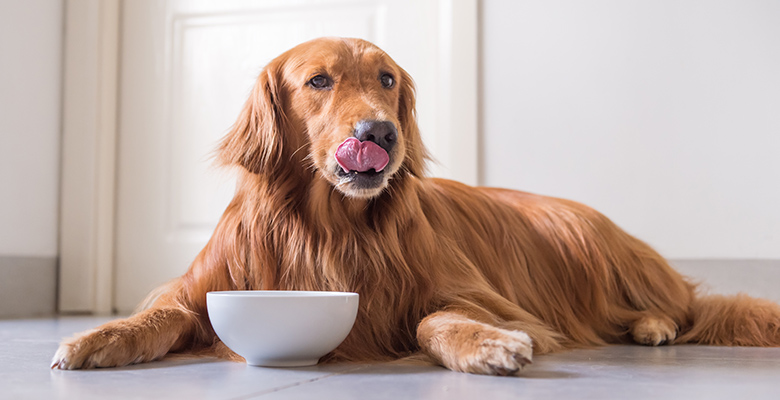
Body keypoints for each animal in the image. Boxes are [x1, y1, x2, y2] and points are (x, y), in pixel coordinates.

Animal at [51, 37, 776, 376]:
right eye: (319, 81)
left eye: (388, 79)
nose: (380, 132)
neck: (327, 226)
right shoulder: (205, 286)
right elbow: (160, 315)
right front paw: (94, 338)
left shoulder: (480, 297)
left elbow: (435, 318)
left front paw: (485, 344)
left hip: (589, 242)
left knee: (687, 307)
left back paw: (654, 325)